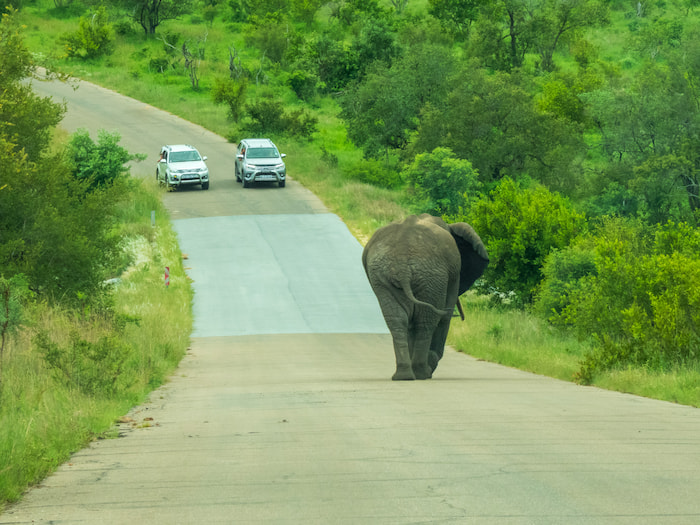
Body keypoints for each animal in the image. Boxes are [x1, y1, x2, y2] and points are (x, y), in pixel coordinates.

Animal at [362, 214, 489, 380]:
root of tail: (402, 265)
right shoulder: (454, 274)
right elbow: (445, 318)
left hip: (385, 277)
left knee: (398, 321)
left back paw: (404, 375)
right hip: (432, 277)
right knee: (427, 322)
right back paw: (422, 372)